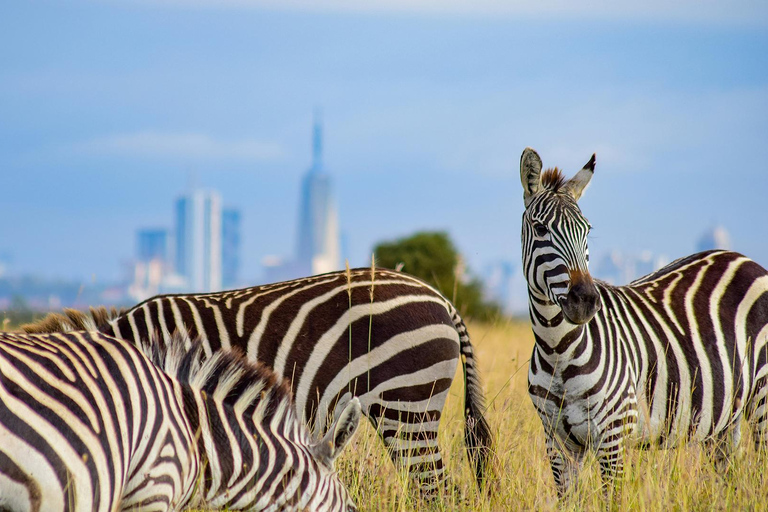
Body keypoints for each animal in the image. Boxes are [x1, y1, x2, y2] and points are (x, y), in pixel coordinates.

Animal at [520, 147, 768, 496]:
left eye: (587, 230)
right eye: (541, 229)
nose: (586, 300)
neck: (557, 349)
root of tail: (744, 259)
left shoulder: (612, 435)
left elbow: (612, 498)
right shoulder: (557, 442)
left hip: (762, 397)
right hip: (724, 416)